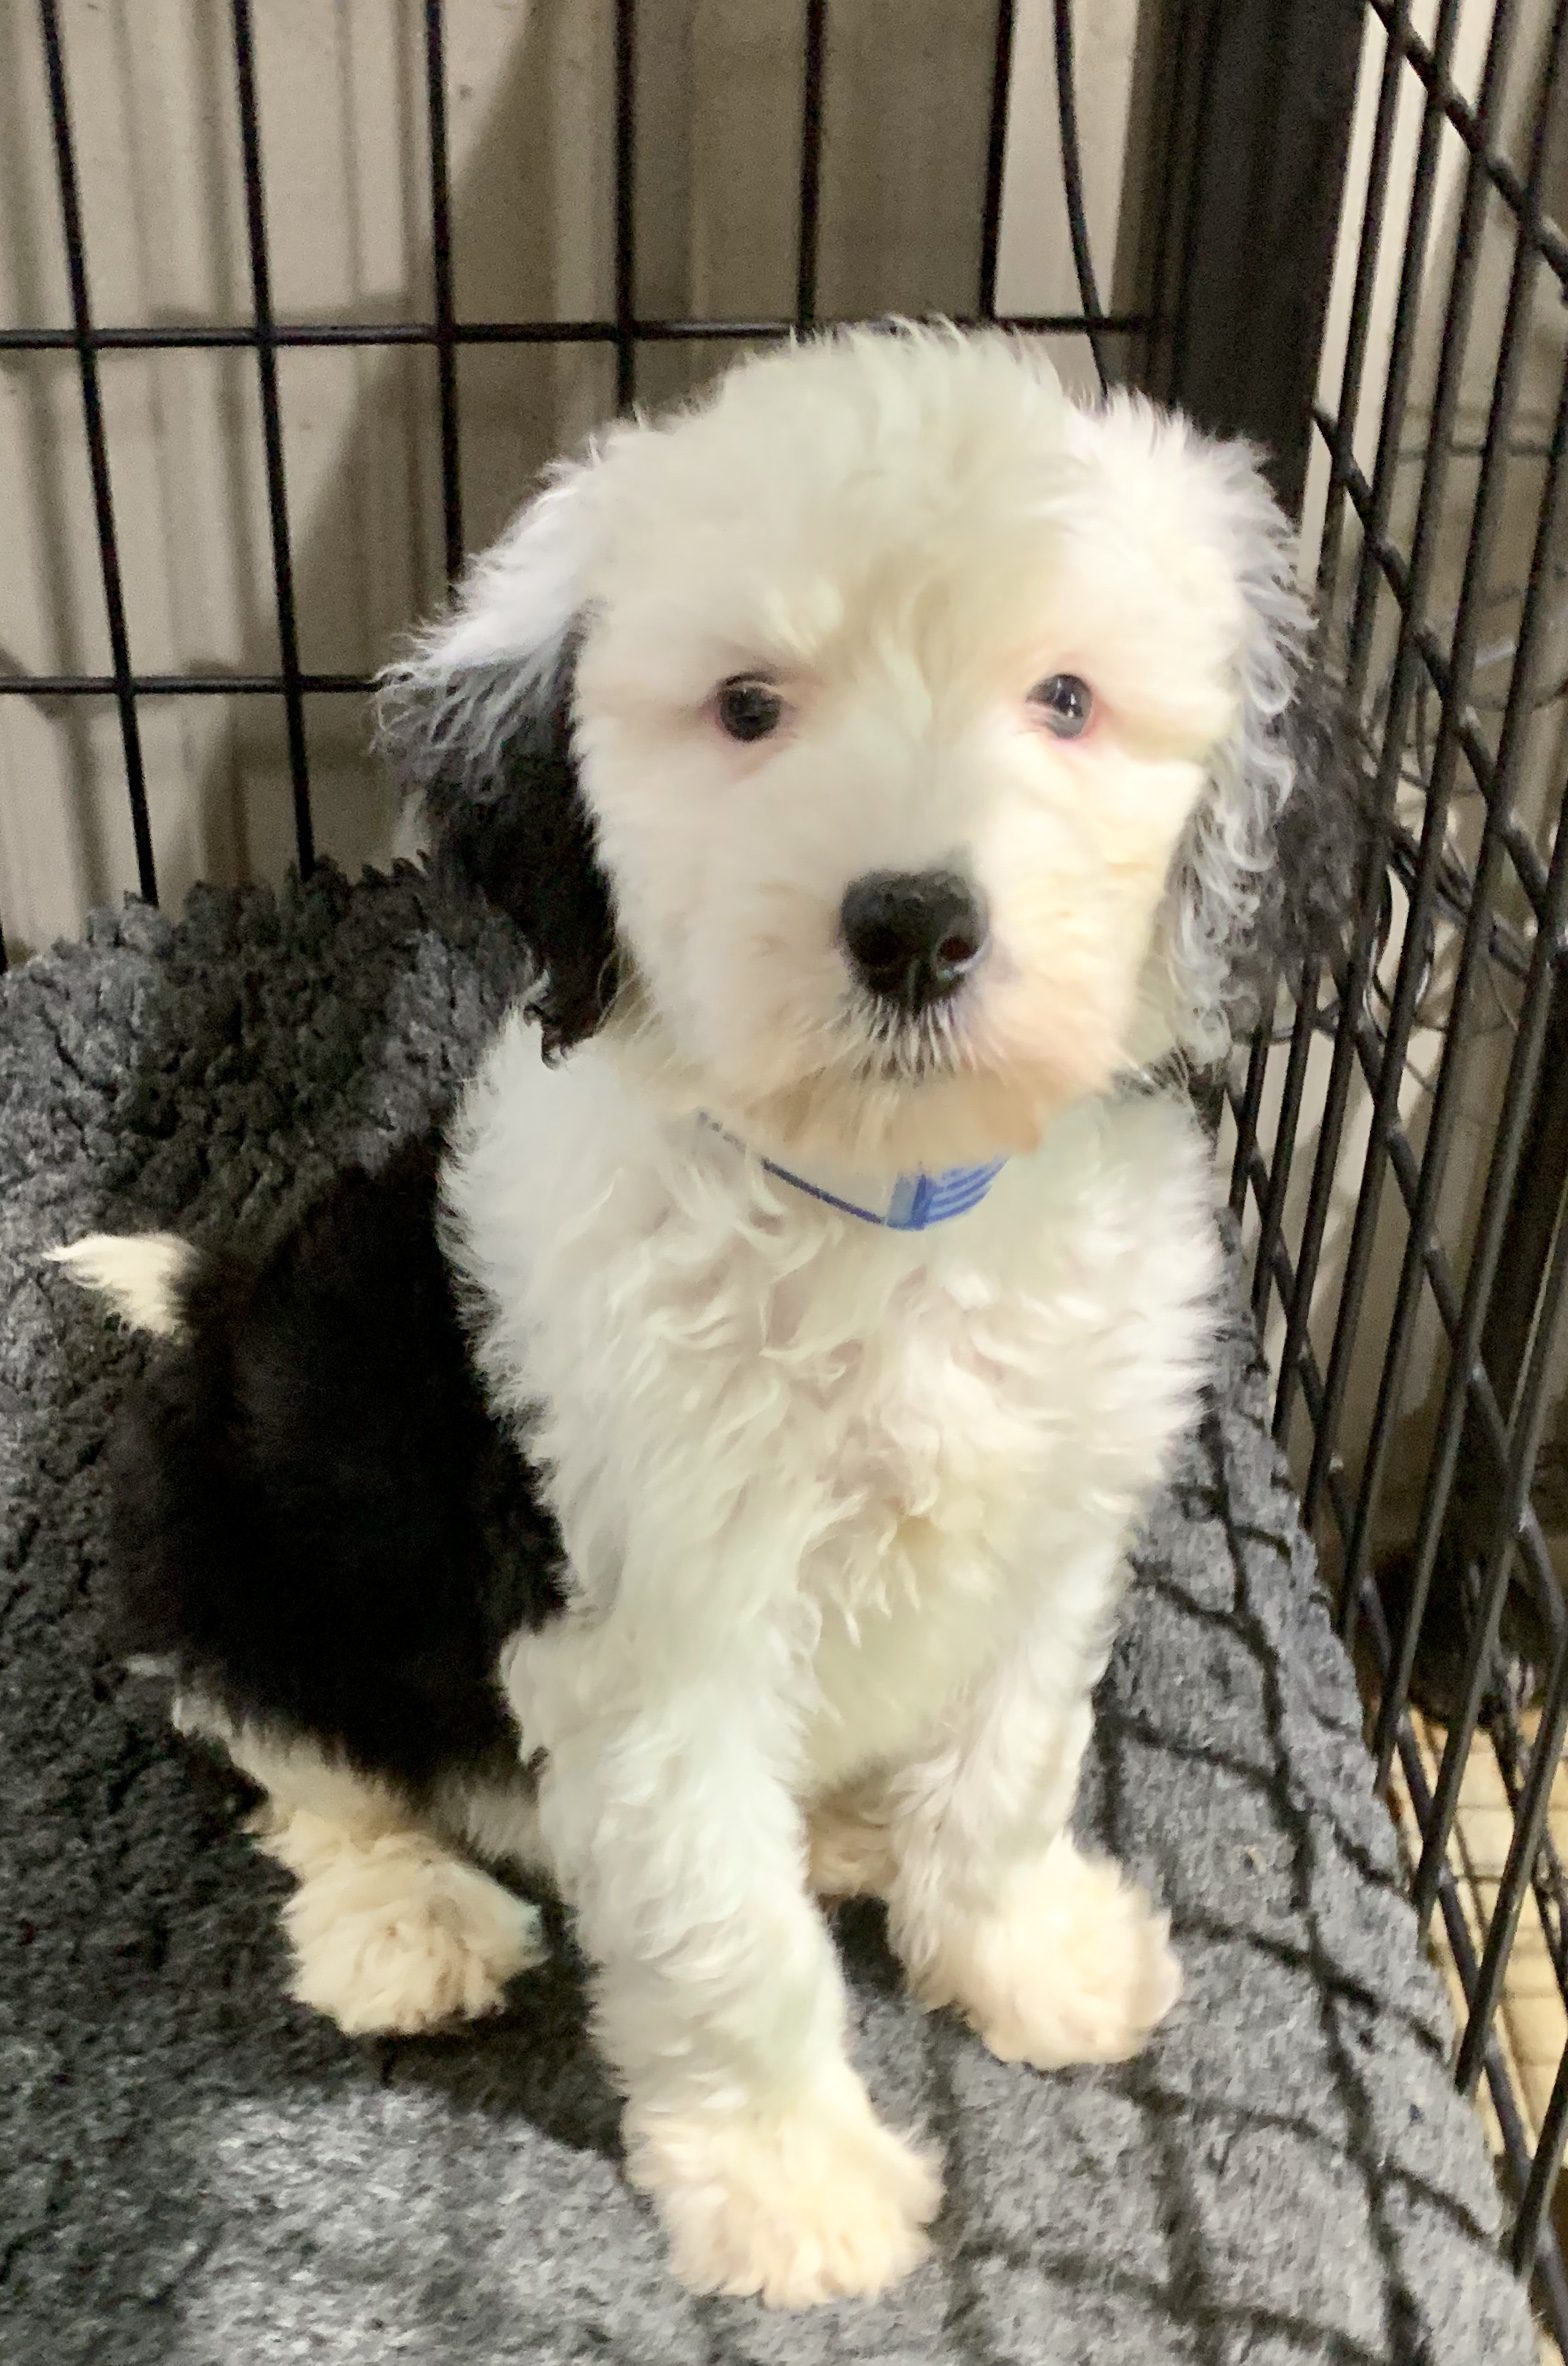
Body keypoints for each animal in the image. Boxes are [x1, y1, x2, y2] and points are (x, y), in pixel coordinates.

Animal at [64, 333, 1352, 2309]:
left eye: (1065, 697)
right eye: (748, 707)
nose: (912, 923)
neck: (881, 1206)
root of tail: (222, 1302)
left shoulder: (1059, 1517)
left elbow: (1011, 1766)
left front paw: (1022, 1955)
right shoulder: (648, 1622)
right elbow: (726, 1929)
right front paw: (790, 2185)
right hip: (225, 1521)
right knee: (284, 1748)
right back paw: (404, 1923)